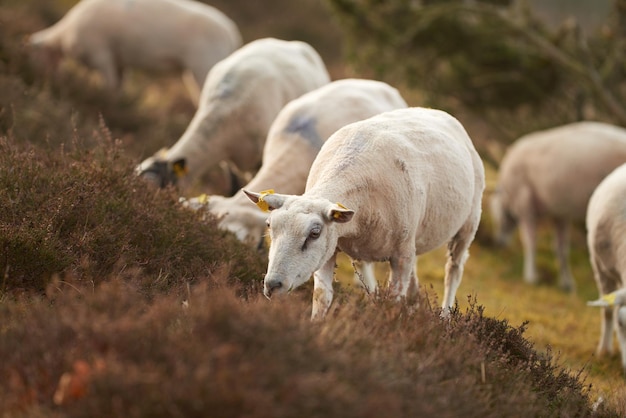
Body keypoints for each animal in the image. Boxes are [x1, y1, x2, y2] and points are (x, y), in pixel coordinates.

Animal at [29, 0, 244, 103]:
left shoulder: (101, 55)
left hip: (205, 65)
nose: (40, 84)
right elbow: (119, 84)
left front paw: (107, 104)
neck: (62, 37)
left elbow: (109, 85)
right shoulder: (118, 61)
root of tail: (232, 33)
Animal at [137, 37, 332, 191]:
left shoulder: (258, 160)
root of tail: (287, 43)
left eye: (162, 187)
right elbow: (233, 185)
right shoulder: (227, 159)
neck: (224, 111)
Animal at [243, 106, 482, 318]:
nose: (273, 285)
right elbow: (322, 297)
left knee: (454, 270)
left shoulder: (400, 256)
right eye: (269, 226)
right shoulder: (330, 247)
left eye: (314, 233)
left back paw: (445, 316)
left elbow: (392, 302)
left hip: (468, 223)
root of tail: (436, 111)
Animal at [490, 120, 626, 290]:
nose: (499, 243)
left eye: (499, 216)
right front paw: (567, 284)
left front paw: (531, 277)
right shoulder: (560, 213)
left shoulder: (525, 204)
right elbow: (561, 249)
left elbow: (530, 241)